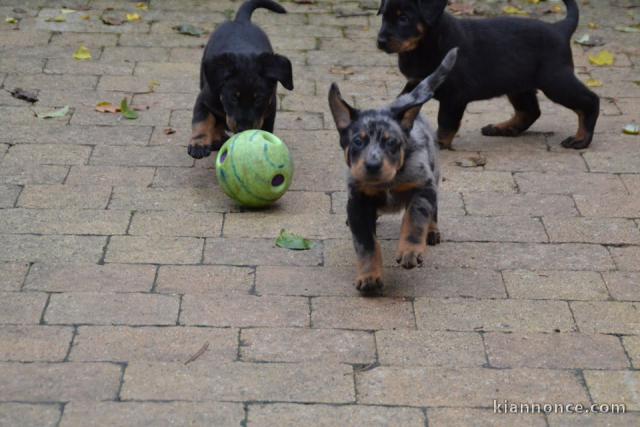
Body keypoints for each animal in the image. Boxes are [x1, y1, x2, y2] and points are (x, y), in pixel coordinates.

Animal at [186, 0, 294, 160]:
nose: (244, 128)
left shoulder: (270, 108)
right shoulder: (204, 99)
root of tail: (241, 20)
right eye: (233, 98)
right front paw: (198, 144)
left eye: (258, 99)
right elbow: (202, 120)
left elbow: (267, 128)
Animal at [328, 47, 458, 294]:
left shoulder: (422, 185)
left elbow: (415, 219)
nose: (372, 165)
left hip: (434, 174)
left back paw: (432, 231)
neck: (387, 183)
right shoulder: (358, 201)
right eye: (358, 141)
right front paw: (369, 277)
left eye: (391, 142)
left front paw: (410, 251)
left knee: (432, 208)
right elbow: (366, 243)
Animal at [376, 0, 600, 150]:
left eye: (403, 18)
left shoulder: (454, 96)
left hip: (555, 81)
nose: (380, 41)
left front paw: (440, 144)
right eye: (384, 16)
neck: (424, 45)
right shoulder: (416, 83)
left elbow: (446, 123)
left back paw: (581, 139)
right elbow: (407, 105)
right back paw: (503, 128)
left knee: (590, 100)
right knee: (530, 111)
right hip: (519, 85)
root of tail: (560, 28)